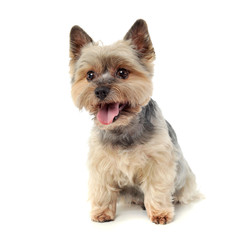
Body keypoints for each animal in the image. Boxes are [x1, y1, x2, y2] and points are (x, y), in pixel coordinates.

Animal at [69, 19, 201, 224]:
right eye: (90, 75)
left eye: (123, 72)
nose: (100, 91)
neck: (123, 128)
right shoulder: (100, 163)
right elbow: (102, 189)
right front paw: (102, 212)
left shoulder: (158, 163)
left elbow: (157, 189)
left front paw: (160, 213)